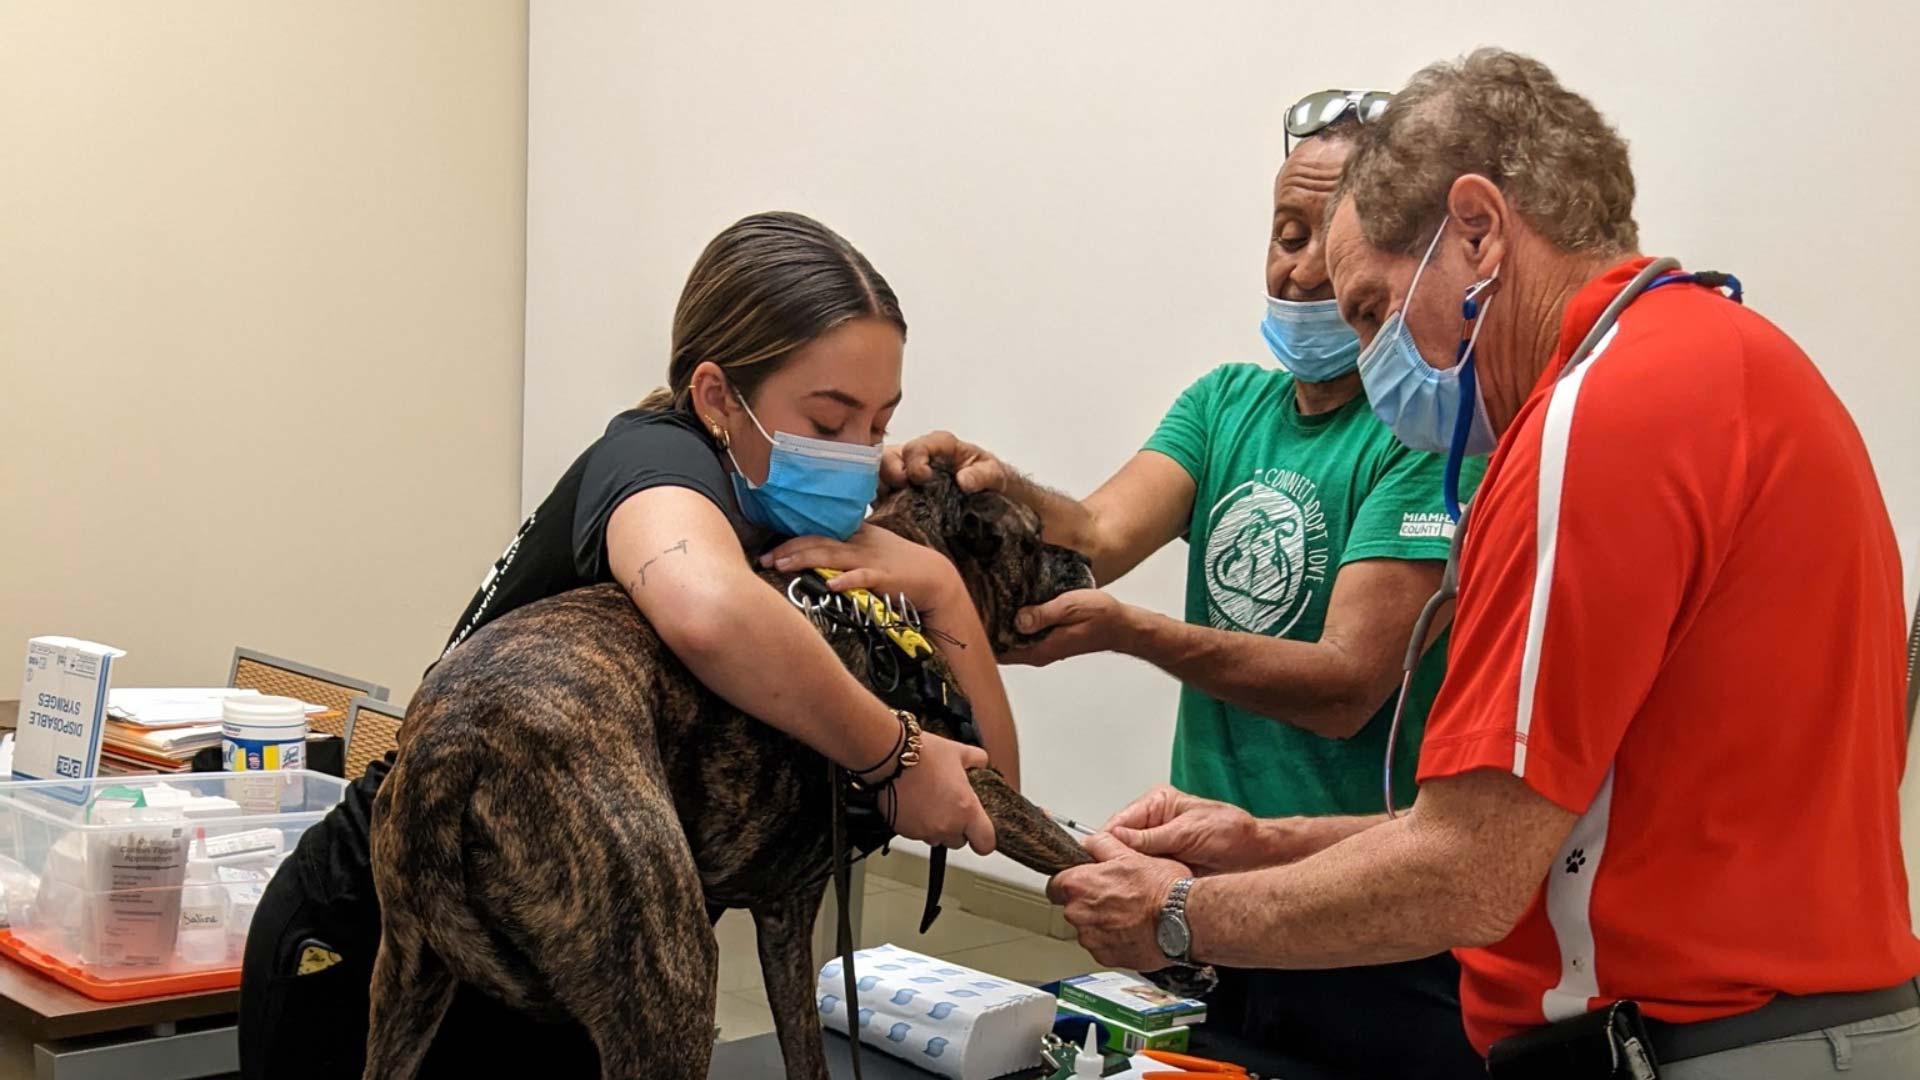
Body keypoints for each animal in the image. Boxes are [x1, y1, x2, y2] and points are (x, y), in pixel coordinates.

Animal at [362, 472, 1113, 1076]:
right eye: (1034, 539)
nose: (1082, 558)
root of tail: (456, 745)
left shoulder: (786, 917)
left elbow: (806, 1049)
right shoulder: (976, 784)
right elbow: (1068, 846)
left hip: (405, 984)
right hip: (673, 991)